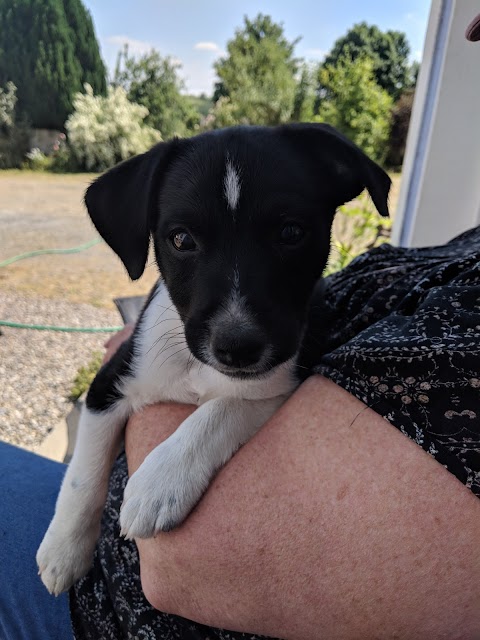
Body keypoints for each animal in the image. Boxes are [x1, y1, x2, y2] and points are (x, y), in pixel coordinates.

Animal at [36, 122, 390, 592]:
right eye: (181, 239)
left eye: (291, 233)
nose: (237, 346)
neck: (196, 367)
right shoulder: (111, 378)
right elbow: (84, 471)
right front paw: (64, 550)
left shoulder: (282, 379)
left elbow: (221, 409)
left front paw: (160, 483)